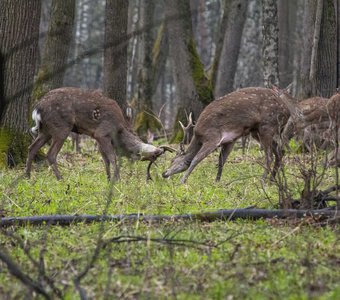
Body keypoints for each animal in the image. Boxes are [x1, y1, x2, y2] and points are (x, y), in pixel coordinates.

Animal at [24, 86, 173, 180]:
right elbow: (112, 157)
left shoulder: (97, 137)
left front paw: (108, 178)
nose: (151, 175)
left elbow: (105, 159)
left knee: (32, 148)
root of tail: (37, 108)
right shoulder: (103, 133)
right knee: (50, 154)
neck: (119, 131)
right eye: (153, 158)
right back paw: (61, 178)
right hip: (61, 127)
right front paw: (117, 179)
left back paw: (27, 176)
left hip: (45, 130)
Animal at [162, 86, 290, 183]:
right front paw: (217, 181)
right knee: (280, 152)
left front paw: (182, 181)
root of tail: (287, 112)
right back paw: (272, 180)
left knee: (270, 156)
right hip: (257, 131)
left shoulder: (212, 137)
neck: (199, 136)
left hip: (267, 126)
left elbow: (196, 159)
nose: (164, 173)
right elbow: (221, 161)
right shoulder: (230, 140)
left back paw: (263, 180)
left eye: (173, 160)